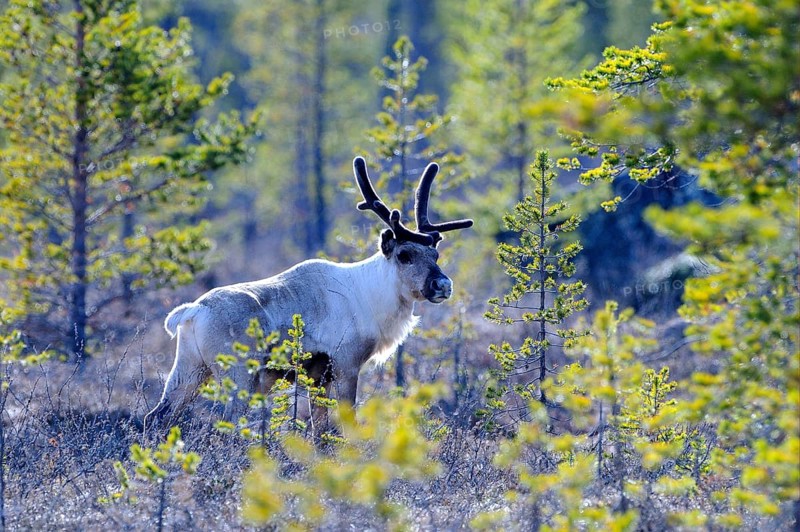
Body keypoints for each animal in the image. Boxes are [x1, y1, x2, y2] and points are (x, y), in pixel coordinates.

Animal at [143, 156, 472, 433]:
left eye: (436, 254)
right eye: (405, 255)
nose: (443, 285)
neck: (371, 299)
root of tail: (194, 310)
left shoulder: (317, 376)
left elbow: (319, 427)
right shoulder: (346, 363)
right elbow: (345, 422)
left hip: (190, 367)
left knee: (157, 415)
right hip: (237, 371)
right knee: (229, 423)